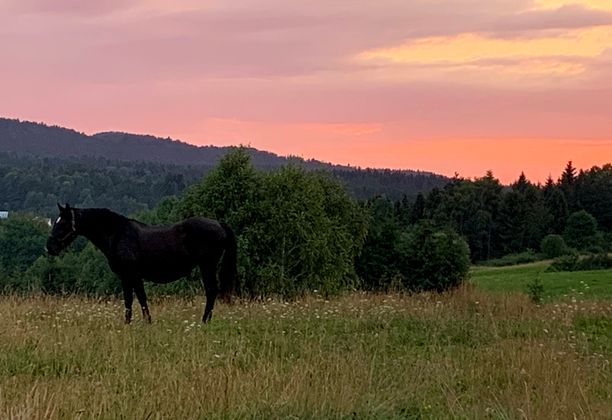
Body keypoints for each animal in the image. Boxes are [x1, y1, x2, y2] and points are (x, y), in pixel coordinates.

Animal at [45, 203, 235, 324]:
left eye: (63, 223)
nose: (49, 247)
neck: (118, 234)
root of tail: (220, 224)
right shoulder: (129, 277)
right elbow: (134, 299)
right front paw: (136, 323)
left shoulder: (131, 275)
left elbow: (136, 299)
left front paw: (138, 323)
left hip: (207, 265)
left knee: (211, 291)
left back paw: (204, 321)